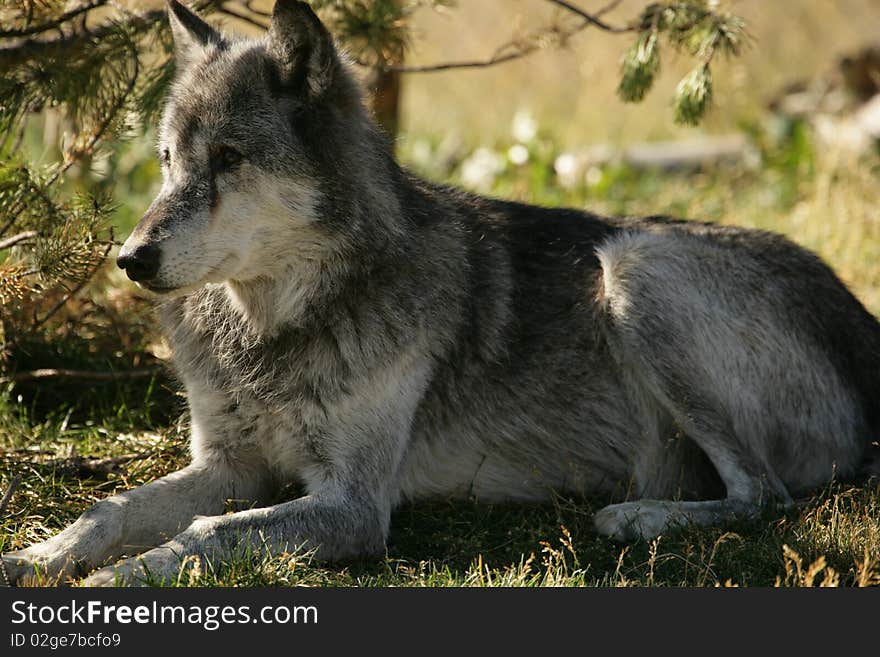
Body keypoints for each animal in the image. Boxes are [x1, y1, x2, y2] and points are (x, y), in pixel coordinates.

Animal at [1, 0, 880, 584]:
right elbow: (108, 510)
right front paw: (33, 559)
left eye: (228, 158)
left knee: (765, 494)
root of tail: (862, 323)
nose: (130, 257)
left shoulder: (353, 506)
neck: (274, 328)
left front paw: (112, 584)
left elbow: (204, 536)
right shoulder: (229, 464)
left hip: (633, 267)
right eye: (167, 159)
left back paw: (637, 516)